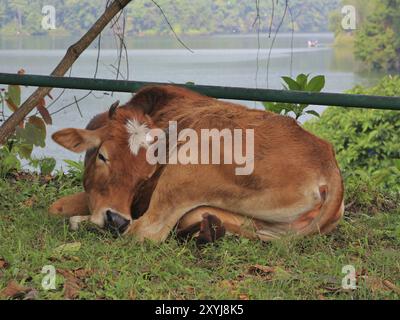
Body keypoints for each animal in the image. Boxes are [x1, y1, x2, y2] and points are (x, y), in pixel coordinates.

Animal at [49, 85, 344, 242]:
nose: (116, 219)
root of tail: (327, 162)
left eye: (145, 177)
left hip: (185, 168)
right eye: (102, 156)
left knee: (146, 231)